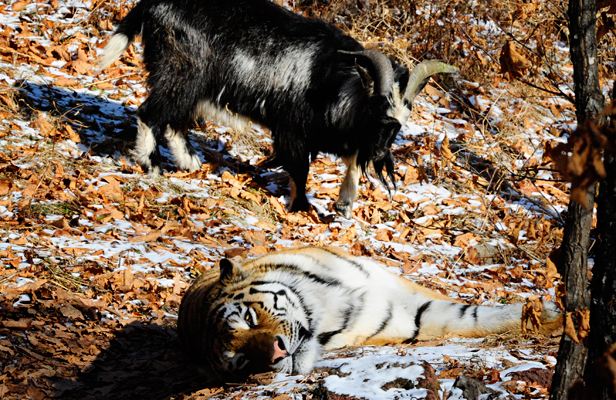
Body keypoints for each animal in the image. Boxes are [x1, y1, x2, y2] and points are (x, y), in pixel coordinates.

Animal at [100, 0, 458, 219]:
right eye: (377, 111)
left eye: (399, 125)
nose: (383, 157)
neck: (330, 79)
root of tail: (152, 5)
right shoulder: (293, 131)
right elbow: (300, 170)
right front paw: (301, 208)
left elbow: (352, 162)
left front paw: (343, 205)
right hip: (180, 72)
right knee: (151, 113)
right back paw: (152, 165)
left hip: (193, 83)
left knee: (174, 120)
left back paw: (189, 162)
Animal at [178, 247, 564, 382]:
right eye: (241, 360)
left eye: (249, 319)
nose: (275, 354)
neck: (323, 306)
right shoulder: (405, 320)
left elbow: (473, 313)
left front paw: (554, 315)